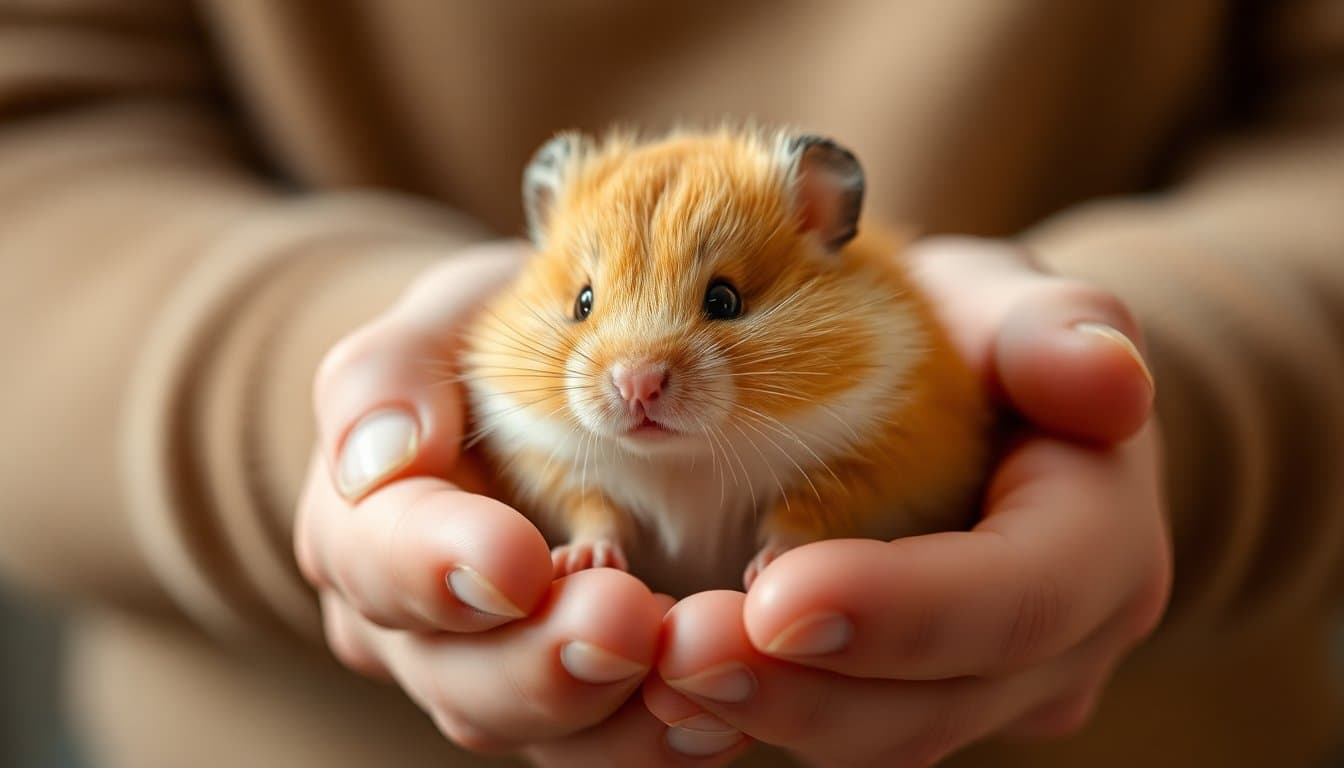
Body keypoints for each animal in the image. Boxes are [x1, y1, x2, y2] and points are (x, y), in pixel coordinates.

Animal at [459, 127, 990, 596]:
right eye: (582, 303)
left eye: (724, 300)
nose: (637, 385)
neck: (680, 460)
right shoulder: (554, 467)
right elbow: (596, 513)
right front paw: (580, 561)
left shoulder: (866, 465)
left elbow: (799, 517)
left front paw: (769, 565)